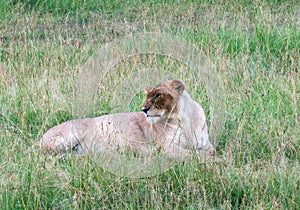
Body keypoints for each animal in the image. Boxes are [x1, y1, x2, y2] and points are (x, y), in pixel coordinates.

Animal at [40, 79, 216, 160]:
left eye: (158, 95)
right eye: (147, 96)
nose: (144, 109)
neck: (184, 119)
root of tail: (41, 137)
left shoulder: (205, 142)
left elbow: (211, 150)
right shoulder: (165, 147)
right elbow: (193, 155)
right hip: (70, 135)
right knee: (46, 154)